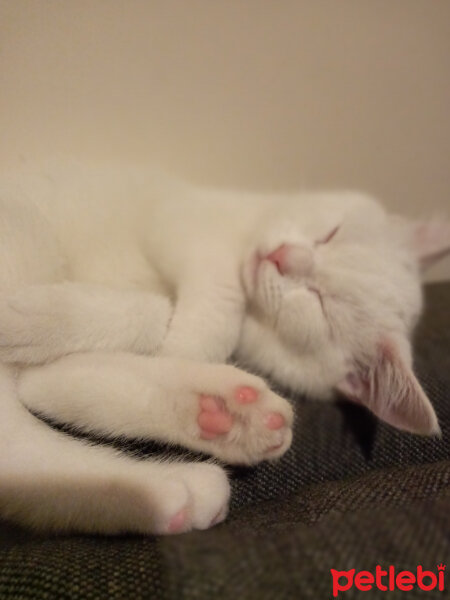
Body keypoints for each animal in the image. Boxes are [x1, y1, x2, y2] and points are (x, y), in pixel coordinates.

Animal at [0, 161, 446, 536]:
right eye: (331, 234)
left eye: (322, 303)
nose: (283, 257)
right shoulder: (176, 214)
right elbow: (198, 297)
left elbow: (57, 379)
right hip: (27, 226)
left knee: (21, 446)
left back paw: (198, 452)